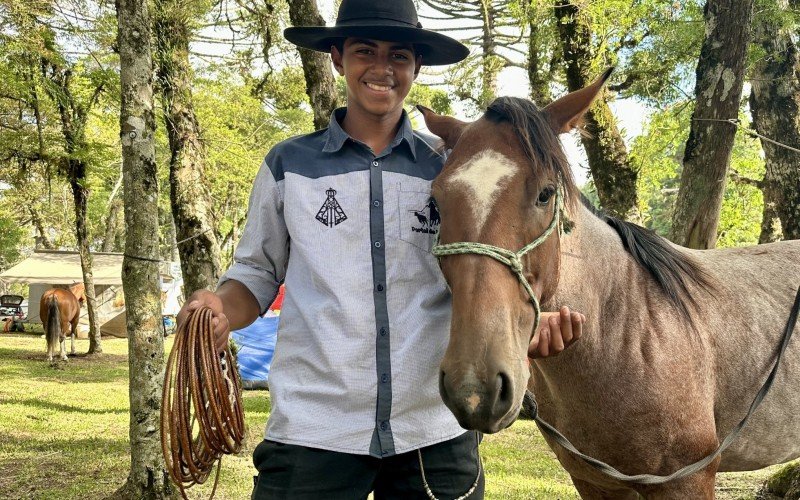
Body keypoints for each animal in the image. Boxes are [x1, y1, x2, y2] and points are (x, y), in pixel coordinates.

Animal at [418, 71, 800, 500]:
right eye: (436, 202)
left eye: (546, 194)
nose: (475, 388)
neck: (626, 334)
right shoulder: (594, 481)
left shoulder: (689, 479)